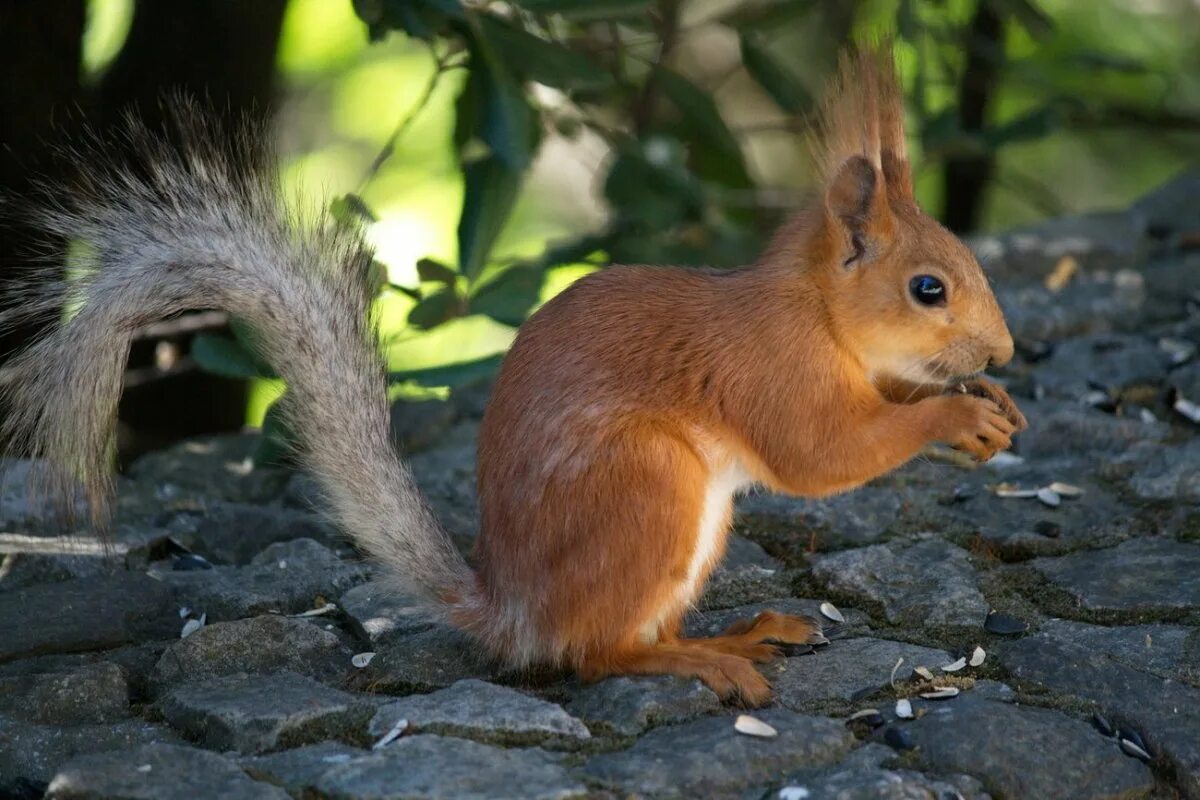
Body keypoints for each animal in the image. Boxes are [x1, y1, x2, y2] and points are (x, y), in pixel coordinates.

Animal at [4, 48, 1027, 705]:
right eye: (928, 288)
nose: (1006, 354)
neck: (815, 310)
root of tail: (514, 612)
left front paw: (987, 404)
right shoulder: (770, 370)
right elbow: (820, 457)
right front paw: (952, 419)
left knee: (622, 637)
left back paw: (734, 634)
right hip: (649, 484)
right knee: (595, 657)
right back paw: (702, 663)